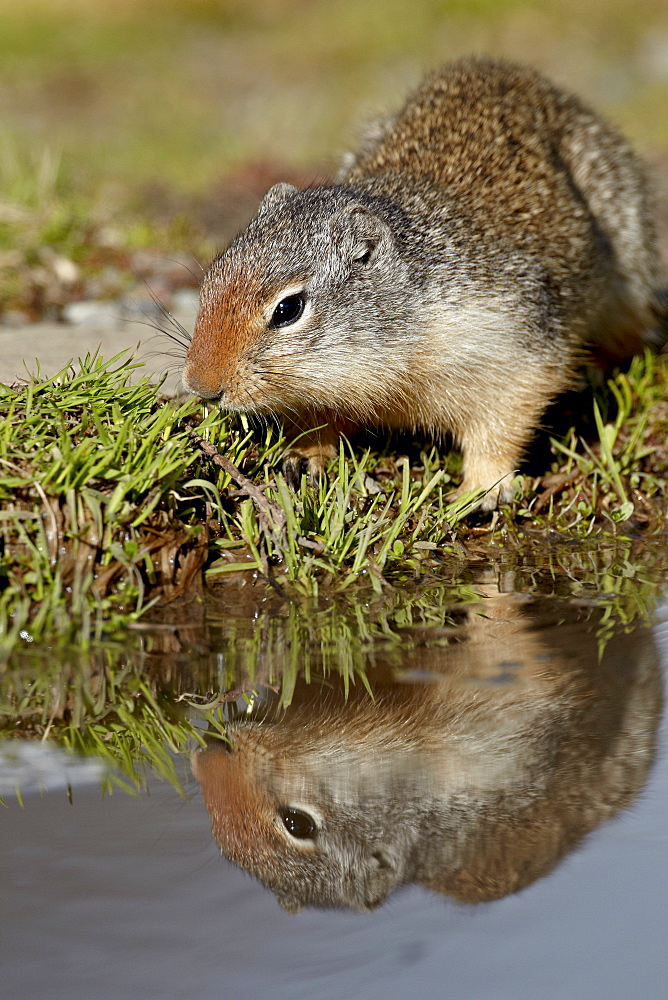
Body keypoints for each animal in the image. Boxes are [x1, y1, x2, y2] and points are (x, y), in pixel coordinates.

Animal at [181, 55, 656, 508]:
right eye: (210, 279)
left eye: (288, 309)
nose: (201, 387)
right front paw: (306, 455)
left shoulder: (517, 350)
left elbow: (501, 428)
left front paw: (481, 490)